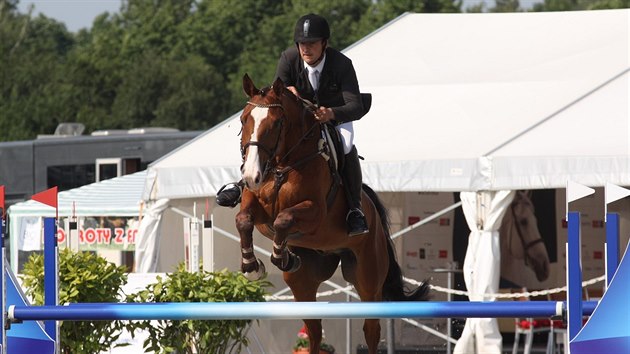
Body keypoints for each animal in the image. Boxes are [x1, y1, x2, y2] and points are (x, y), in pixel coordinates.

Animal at [235, 74, 432, 352]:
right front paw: (252, 265)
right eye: (243, 120)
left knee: (371, 329)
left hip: (368, 277)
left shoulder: (315, 213)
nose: (251, 176)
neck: (284, 165)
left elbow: (284, 219)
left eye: (277, 123)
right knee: (314, 330)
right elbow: (243, 220)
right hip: (304, 283)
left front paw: (281, 257)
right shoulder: (256, 207)